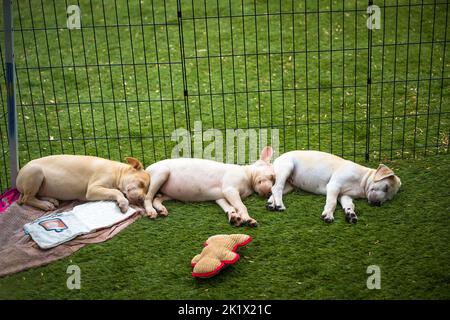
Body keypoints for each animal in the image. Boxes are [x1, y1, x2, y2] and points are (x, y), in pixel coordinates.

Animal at [16, 156, 149, 212]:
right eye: (141, 184)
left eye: (147, 190)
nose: (142, 200)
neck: (118, 172)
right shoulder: (93, 189)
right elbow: (115, 191)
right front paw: (123, 203)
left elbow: (115, 191)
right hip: (35, 171)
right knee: (26, 199)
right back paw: (44, 205)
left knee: (34, 195)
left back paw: (50, 200)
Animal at [146, 146, 276, 226]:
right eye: (272, 177)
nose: (270, 193)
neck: (248, 175)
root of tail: (145, 169)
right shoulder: (230, 190)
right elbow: (241, 206)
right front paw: (248, 219)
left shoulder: (221, 197)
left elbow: (230, 207)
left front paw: (233, 217)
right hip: (161, 173)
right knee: (148, 197)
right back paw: (151, 211)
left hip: (168, 193)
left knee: (156, 198)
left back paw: (161, 209)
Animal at [266, 151, 402, 222]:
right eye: (386, 187)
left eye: (388, 199)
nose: (377, 204)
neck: (361, 182)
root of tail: (276, 159)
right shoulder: (334, 185)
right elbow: (332, 202)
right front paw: (328, 214)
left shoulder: (344, 195)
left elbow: (349, 204)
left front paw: (350, 214)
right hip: (286, 168)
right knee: (277, 188)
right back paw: (279, 205)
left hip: (289, 185)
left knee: (276, 189)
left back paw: (271, 204)